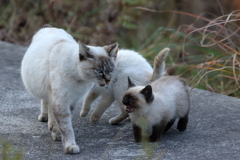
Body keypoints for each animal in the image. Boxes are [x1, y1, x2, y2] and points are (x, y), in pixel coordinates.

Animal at [20, 26, 118, 154]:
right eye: (99, 71)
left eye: (110, 70)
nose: (108, 80)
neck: (80, 80)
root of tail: (49, 27)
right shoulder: (61, 101)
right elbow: (67, 128)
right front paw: (70, 146)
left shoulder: (72, 100)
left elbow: (63, 124)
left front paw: (57, 134)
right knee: (45, 102)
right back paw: (44, 118)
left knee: (49, 106)